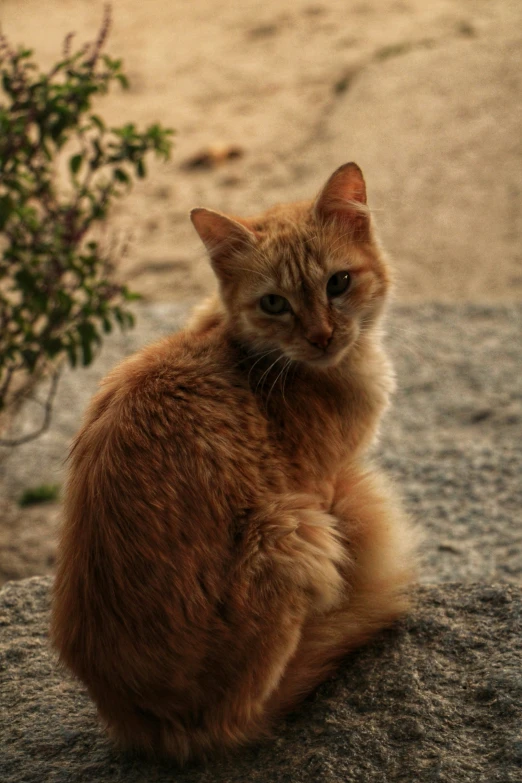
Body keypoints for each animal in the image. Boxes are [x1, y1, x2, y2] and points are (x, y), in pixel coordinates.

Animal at [51, 162, 414, 764]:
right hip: (291, 530)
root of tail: (153, 727)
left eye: (338, 283)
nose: (322, 336)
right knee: (244, 717)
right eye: (274, 303)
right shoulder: (319, 485)